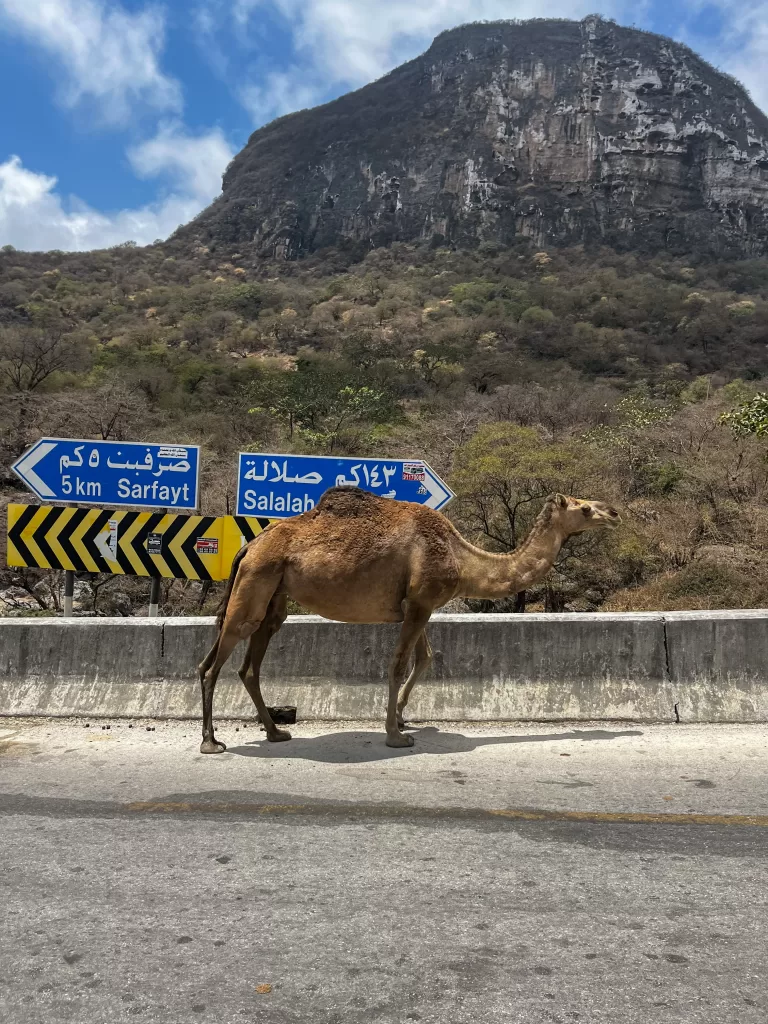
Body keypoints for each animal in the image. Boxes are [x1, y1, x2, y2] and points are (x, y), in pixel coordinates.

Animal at [198, 486, 620, 753]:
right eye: (584, 508)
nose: (614, 512)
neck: (462, 557)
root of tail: (249, 546)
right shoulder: (420, 602)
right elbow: (399, 663)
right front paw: (395, 735)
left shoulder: (418, 604)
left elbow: (426, 658)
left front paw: (402, 719)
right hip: (256, 581)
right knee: (213, 663)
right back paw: (211, 742)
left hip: (274, 595)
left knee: (249, 665)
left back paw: (275, 733)